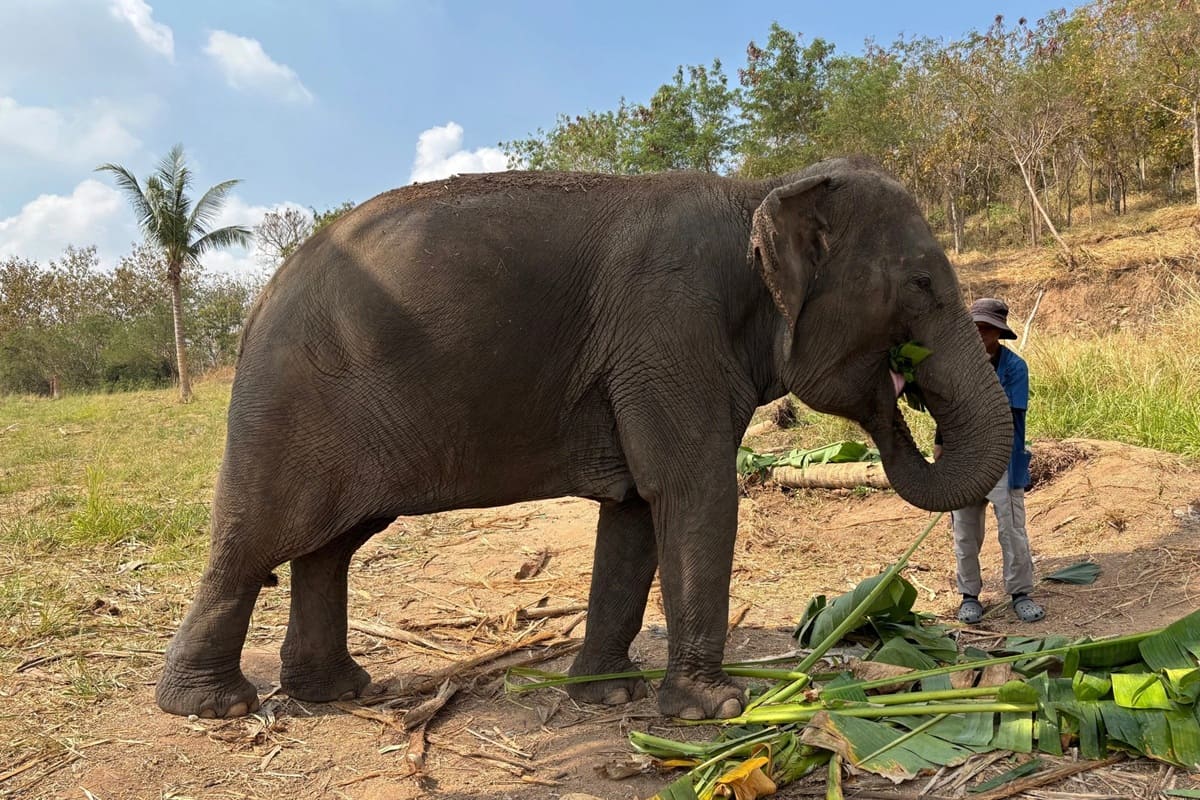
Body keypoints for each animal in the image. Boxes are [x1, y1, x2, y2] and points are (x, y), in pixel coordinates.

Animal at [155, 157, 1012, 721]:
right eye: (922, 286)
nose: (901, 392)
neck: (760, 189)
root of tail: (259, 298)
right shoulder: (668, 329)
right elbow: (692, 490)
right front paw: (715, 710)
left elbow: (635, 512)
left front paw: (608, 691)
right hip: (288, 406)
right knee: (256, 542)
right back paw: (212, 708)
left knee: (330, 545)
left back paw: (337, 692)